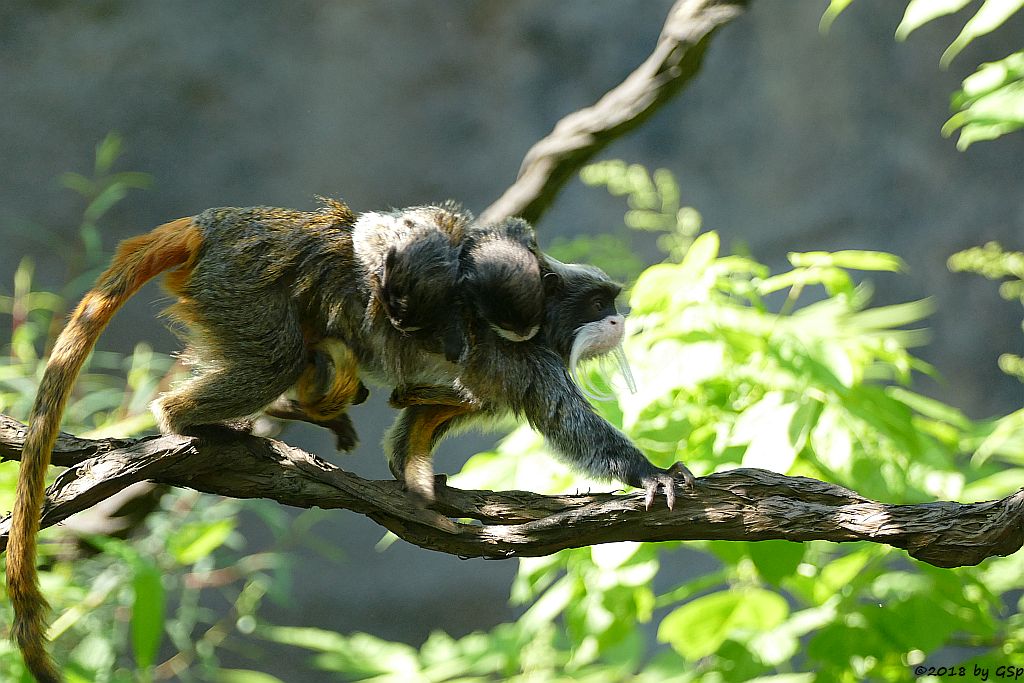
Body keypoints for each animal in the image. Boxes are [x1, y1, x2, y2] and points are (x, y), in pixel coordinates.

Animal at [8, 196, 692, 679]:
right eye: (600, 304)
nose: (620, 319)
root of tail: (217, 226)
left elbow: (426, 420)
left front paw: (417, 481)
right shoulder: (524, 358)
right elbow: (568, 423)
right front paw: (652, 473)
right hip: (241, 286)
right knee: (273, 358)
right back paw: (183, 418)